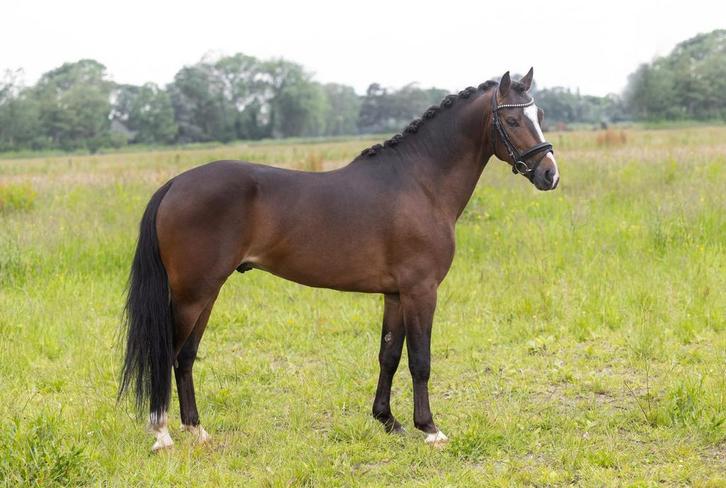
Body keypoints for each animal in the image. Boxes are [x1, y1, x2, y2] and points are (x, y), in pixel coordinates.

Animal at [119, 68, 560, 452]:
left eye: (539, 116)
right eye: (514, 120)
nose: (549, 175)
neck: (420, 183)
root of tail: (175, 184)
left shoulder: (396, 294)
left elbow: (388, 356)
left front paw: (388, 420)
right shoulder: (421, 291)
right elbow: (420, 360)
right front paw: (430, 429)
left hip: (206, 293)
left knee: (186, 357)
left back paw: (197, 430)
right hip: (192, 294)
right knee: (167, 354)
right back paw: (162, 434)